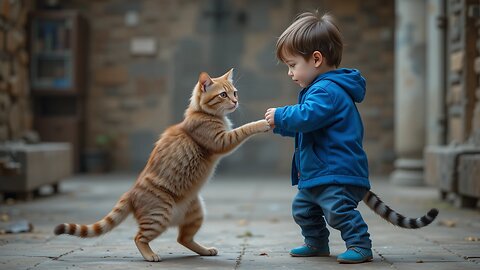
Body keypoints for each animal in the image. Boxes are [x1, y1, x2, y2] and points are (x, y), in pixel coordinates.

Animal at [53, 68, 270, 262]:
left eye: (235, 92)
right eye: (223, 94)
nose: (235, 101)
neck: (202, 113)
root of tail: (130, 192)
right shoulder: (222, 141)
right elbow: (244, 129)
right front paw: (263, 123)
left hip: (196, 212)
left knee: (182, 238)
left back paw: (205, 250)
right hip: (159, 216)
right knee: (139, 238)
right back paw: (150, 256)